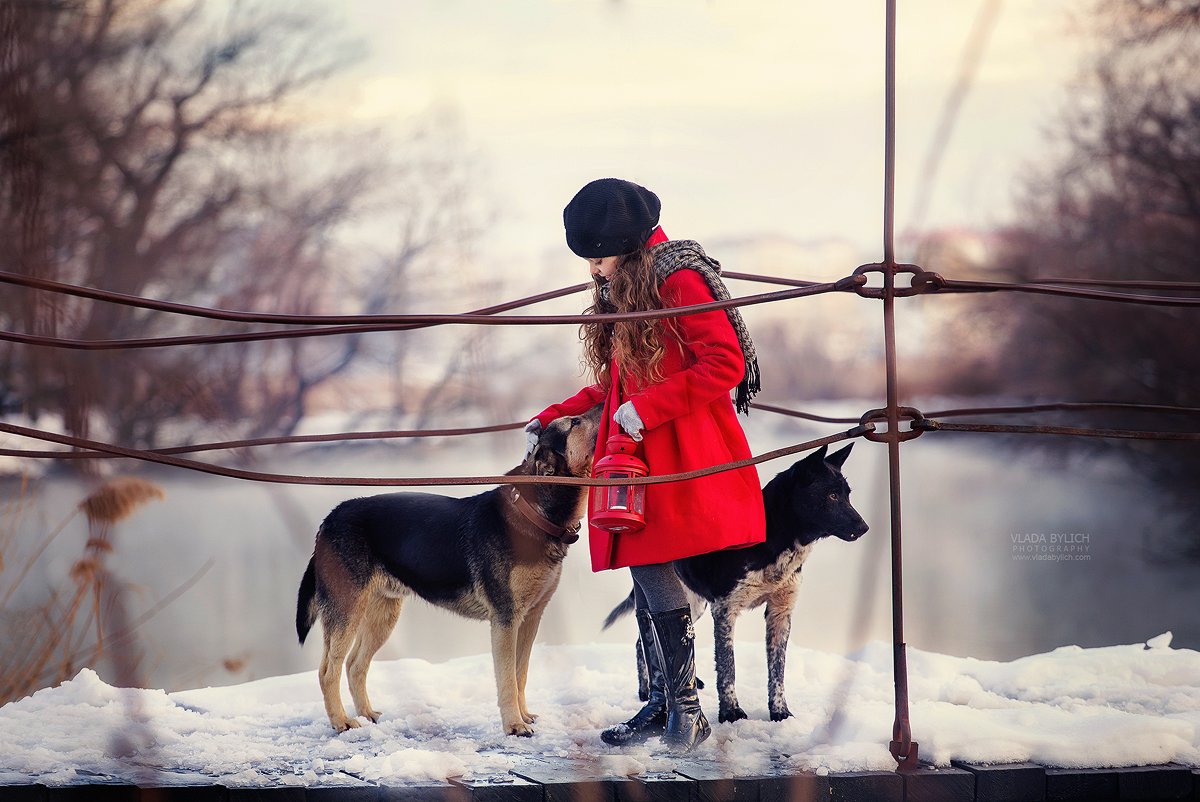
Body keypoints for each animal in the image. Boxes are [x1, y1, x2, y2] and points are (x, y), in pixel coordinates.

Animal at [604, 441, 868, 725]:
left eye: (847, 494)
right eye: (832, 496)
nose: (864, 527)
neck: (773, 539)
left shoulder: (780, 612)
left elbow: (778, 671)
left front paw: (780, 712)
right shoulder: (725, 609)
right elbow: (727, 666)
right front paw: (731, 712)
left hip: (693, 603)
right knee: (645, 643)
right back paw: (646, 691)